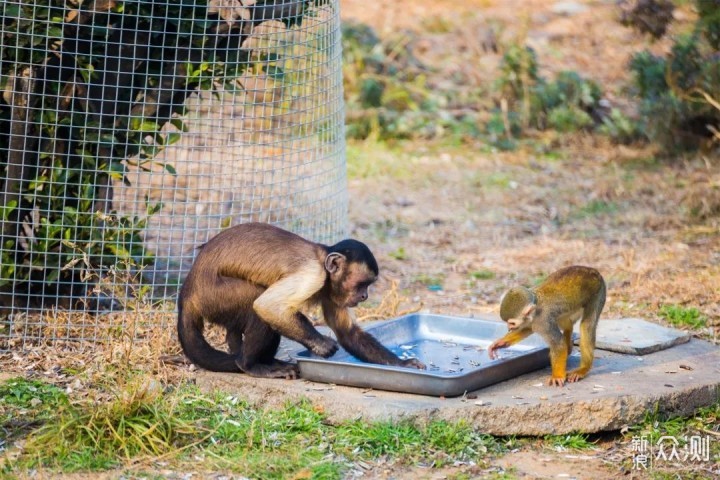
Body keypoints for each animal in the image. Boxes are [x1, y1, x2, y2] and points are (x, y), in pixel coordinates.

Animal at [178, 222, 428, 378]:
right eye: (362, 284)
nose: (365, 296)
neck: (324, 265)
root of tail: (188, 293)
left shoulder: (332, 291)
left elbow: (348, 333)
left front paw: (403, 364)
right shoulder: (313, 274)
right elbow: (268, 307)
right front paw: (322, 345)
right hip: (214, 295)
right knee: (255, 301)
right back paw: (249, 365)